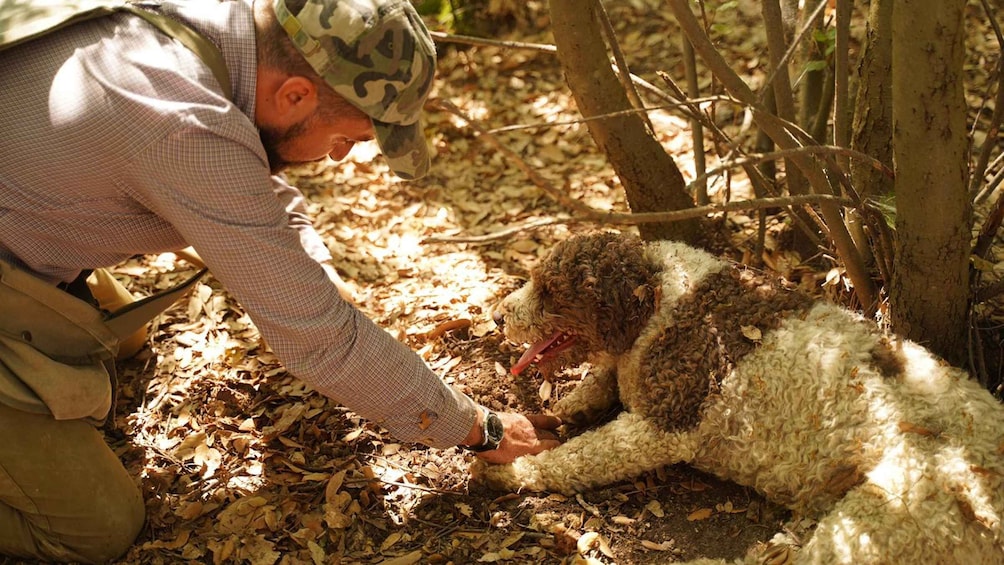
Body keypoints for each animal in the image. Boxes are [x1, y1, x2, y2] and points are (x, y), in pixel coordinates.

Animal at [475, 230, 1003, 565]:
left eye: (550, 291)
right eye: (536, 279)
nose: (497, 315)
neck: (663, 296)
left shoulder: (661, 428)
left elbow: (576, 458)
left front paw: (510, 470)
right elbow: (606, 377)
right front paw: (573, 401)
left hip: (883, 515)